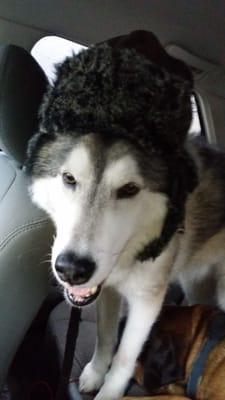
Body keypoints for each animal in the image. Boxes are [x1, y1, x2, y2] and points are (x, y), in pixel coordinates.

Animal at [25, 32, 225, 400]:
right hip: (197, 282)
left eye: (129, 189)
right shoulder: (107, 288)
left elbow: (125, 357)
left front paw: (110, 389)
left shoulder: (147, 301)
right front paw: (94, 372)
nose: (72, 269)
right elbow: (105, 338)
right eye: (69, 178)